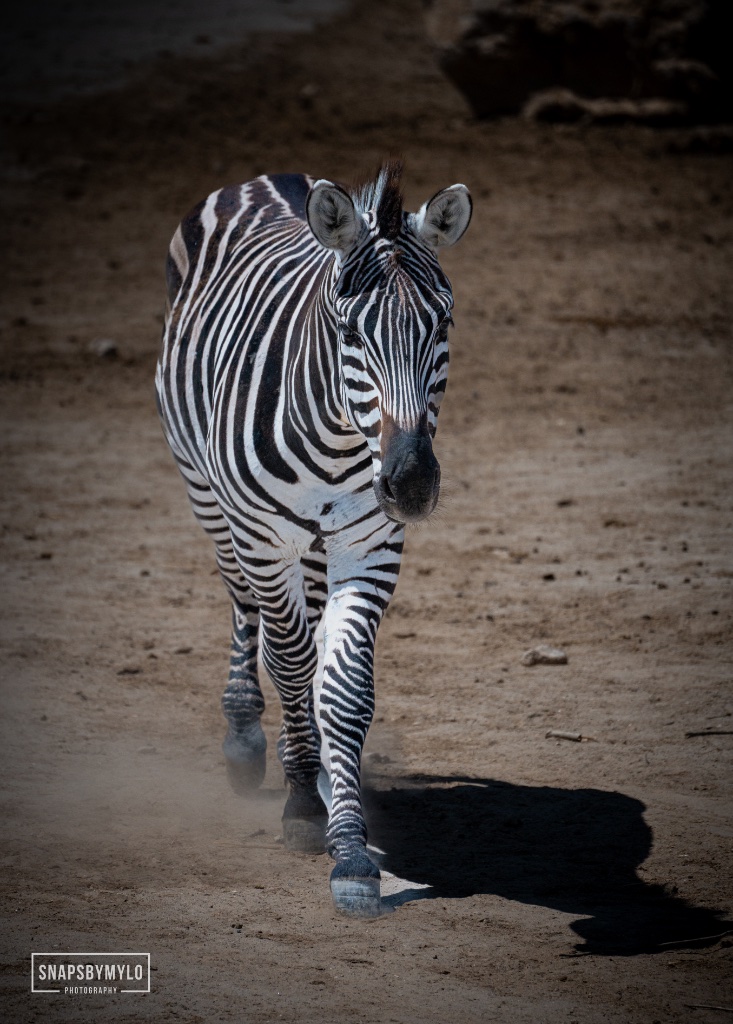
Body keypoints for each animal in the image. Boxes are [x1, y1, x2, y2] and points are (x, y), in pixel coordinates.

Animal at [155, 160, 472, 917]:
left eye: (443, 322)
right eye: (349, 331)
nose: (411, 484)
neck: (338, 440)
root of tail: (270, 178)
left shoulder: (370, 546)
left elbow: (344, 686)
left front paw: (349, 845)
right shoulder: (264, 539)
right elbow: (293, 664)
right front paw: (302, 803)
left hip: (318, 544)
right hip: (213, 500)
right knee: (246, 608)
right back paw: (246, 738)